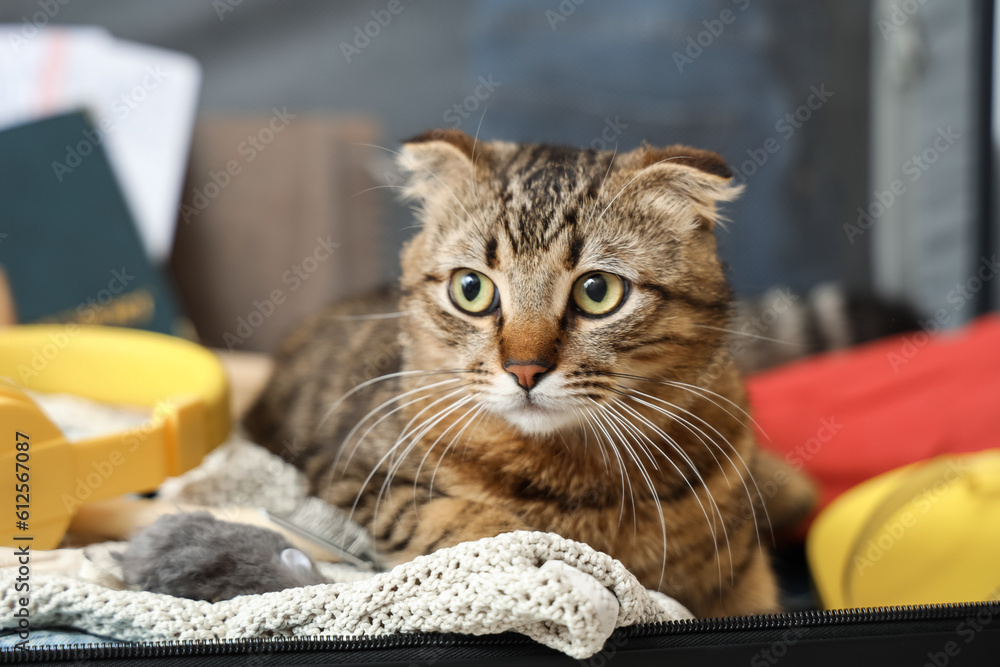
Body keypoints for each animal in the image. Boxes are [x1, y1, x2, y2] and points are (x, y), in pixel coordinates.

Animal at [244, 128, 812, 620]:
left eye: (598, 291)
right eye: (470, 288)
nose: (524, 369)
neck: (567, 476)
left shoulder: (744, 578)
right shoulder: (344, 478)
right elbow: (457, 521)